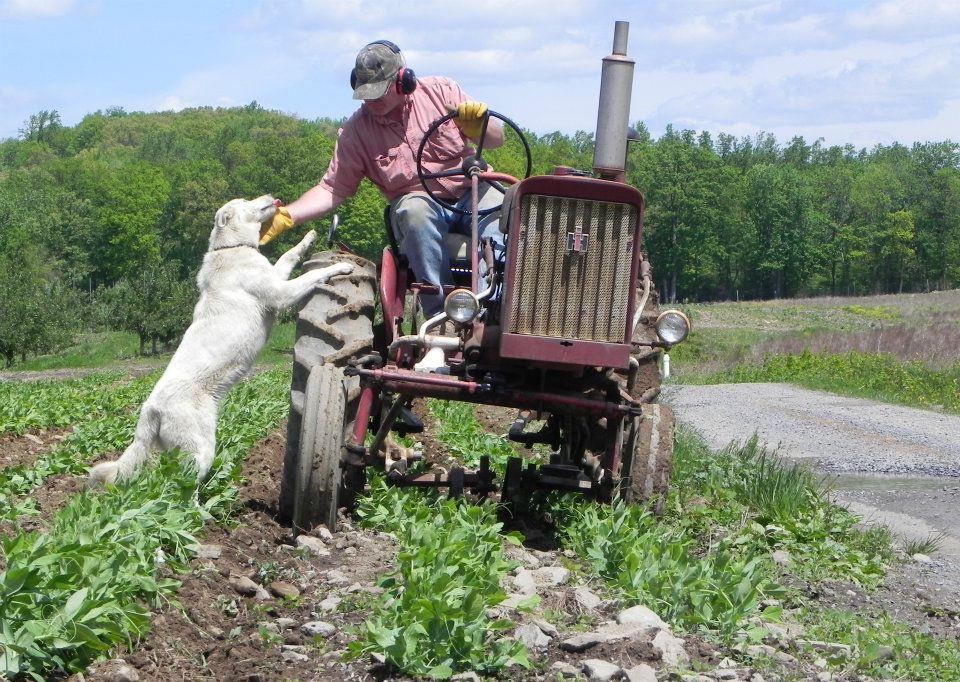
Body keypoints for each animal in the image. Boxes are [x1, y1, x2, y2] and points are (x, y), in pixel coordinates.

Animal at [89, 194, 352, 486]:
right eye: (246, 201)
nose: (270, 196)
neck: (230, 248)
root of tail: (151, 409)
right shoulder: (281, 294)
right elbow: (310, 276)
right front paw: (341, 265)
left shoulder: (276, 275)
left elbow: (288, 255)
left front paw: (308, 237)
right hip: (199, 450)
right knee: (179, 485)